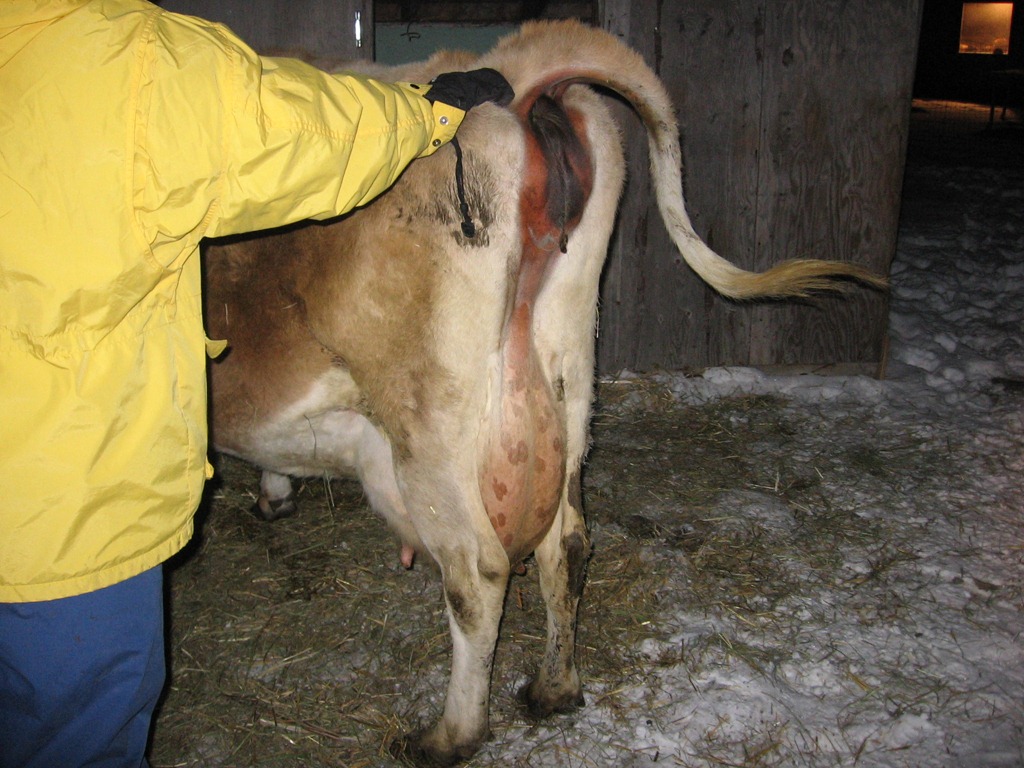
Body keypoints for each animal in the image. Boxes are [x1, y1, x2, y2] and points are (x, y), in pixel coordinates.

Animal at [204, 20, 884, 766]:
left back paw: (448, 736)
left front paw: (272, 493)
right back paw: (554, 688)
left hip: (430, 423)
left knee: (477, 574)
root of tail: (515, 77)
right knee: (570, 543)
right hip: (569, 369)